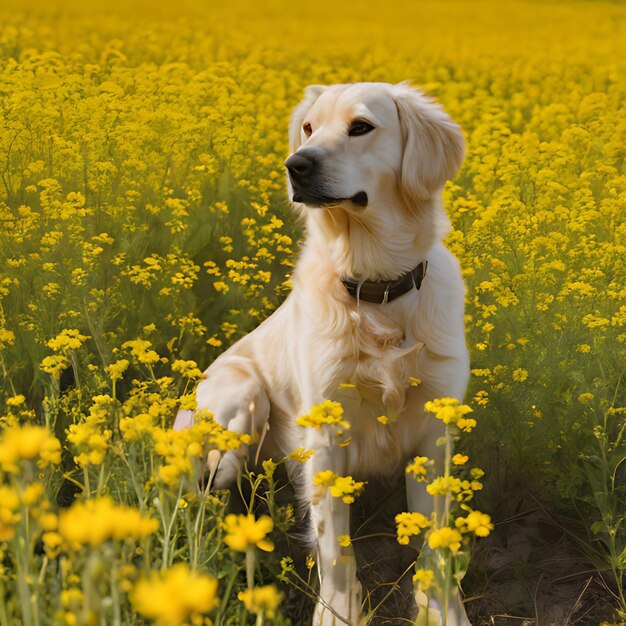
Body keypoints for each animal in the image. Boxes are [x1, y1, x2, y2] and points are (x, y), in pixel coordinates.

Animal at [174, 83, 468, 624]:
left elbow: (435, 545)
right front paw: (337, 612)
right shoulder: (327, 434)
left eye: (361, 127)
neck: (377, 290)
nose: (296, 165)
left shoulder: (435, 432)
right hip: (241, 399)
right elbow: (334, 549)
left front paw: (442, 609)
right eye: (309, 127)